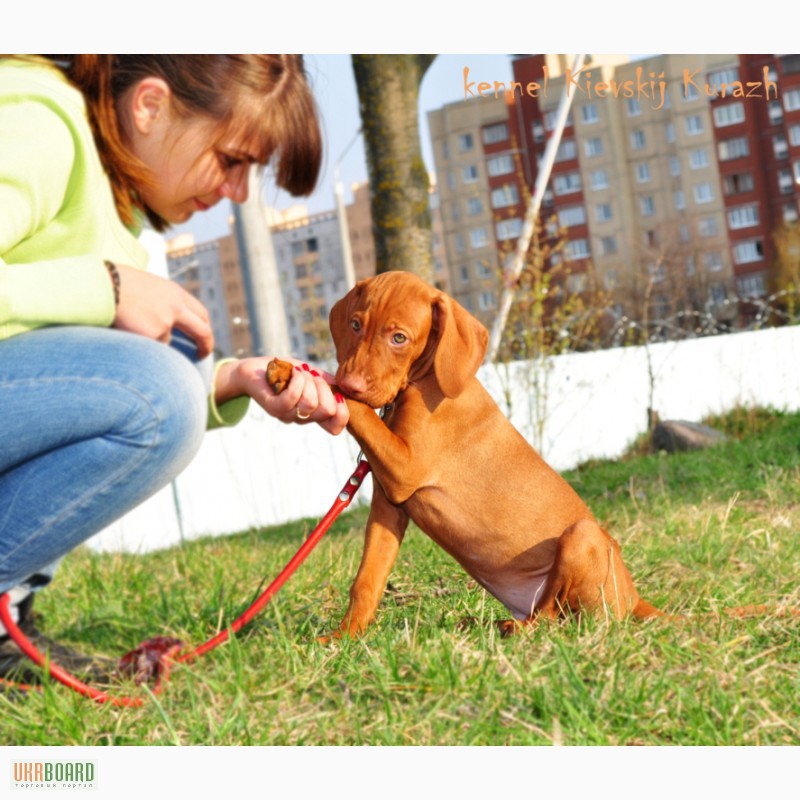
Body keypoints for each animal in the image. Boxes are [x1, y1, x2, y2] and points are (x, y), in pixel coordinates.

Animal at [272, 272, 660, 636]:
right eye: (355, 325)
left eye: (399, 338)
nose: (352, 381)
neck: (424, 378)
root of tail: (634, 599)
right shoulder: (389, 504)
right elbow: (367, 580)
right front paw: (344, 638)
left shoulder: (404, 467)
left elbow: (359, 409)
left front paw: (305, 376)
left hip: (583, 535)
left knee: (550, 619)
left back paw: (508, 628)